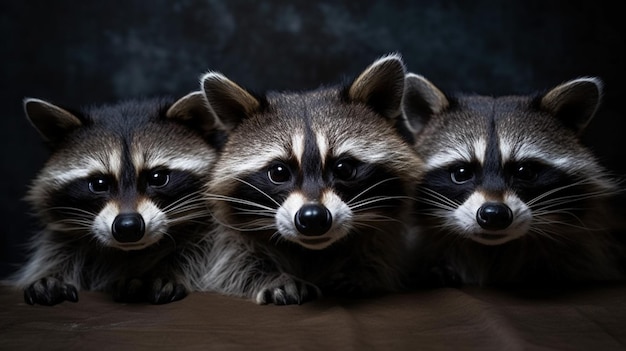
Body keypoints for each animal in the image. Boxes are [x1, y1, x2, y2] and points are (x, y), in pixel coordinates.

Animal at [7, 93, 219, 306]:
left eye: (158, 178)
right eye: (99, 183)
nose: (128, 226)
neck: (130, 252)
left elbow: (195, 254)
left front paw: (165, 272)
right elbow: (56, 252)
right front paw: (53, 274)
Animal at [193, 55, 422, 306]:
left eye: (343, 168)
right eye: (279, 172)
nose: (313, 217)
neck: (311, 251)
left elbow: (382, 251)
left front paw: (362, 272)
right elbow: (231, 261)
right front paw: (271, 276)